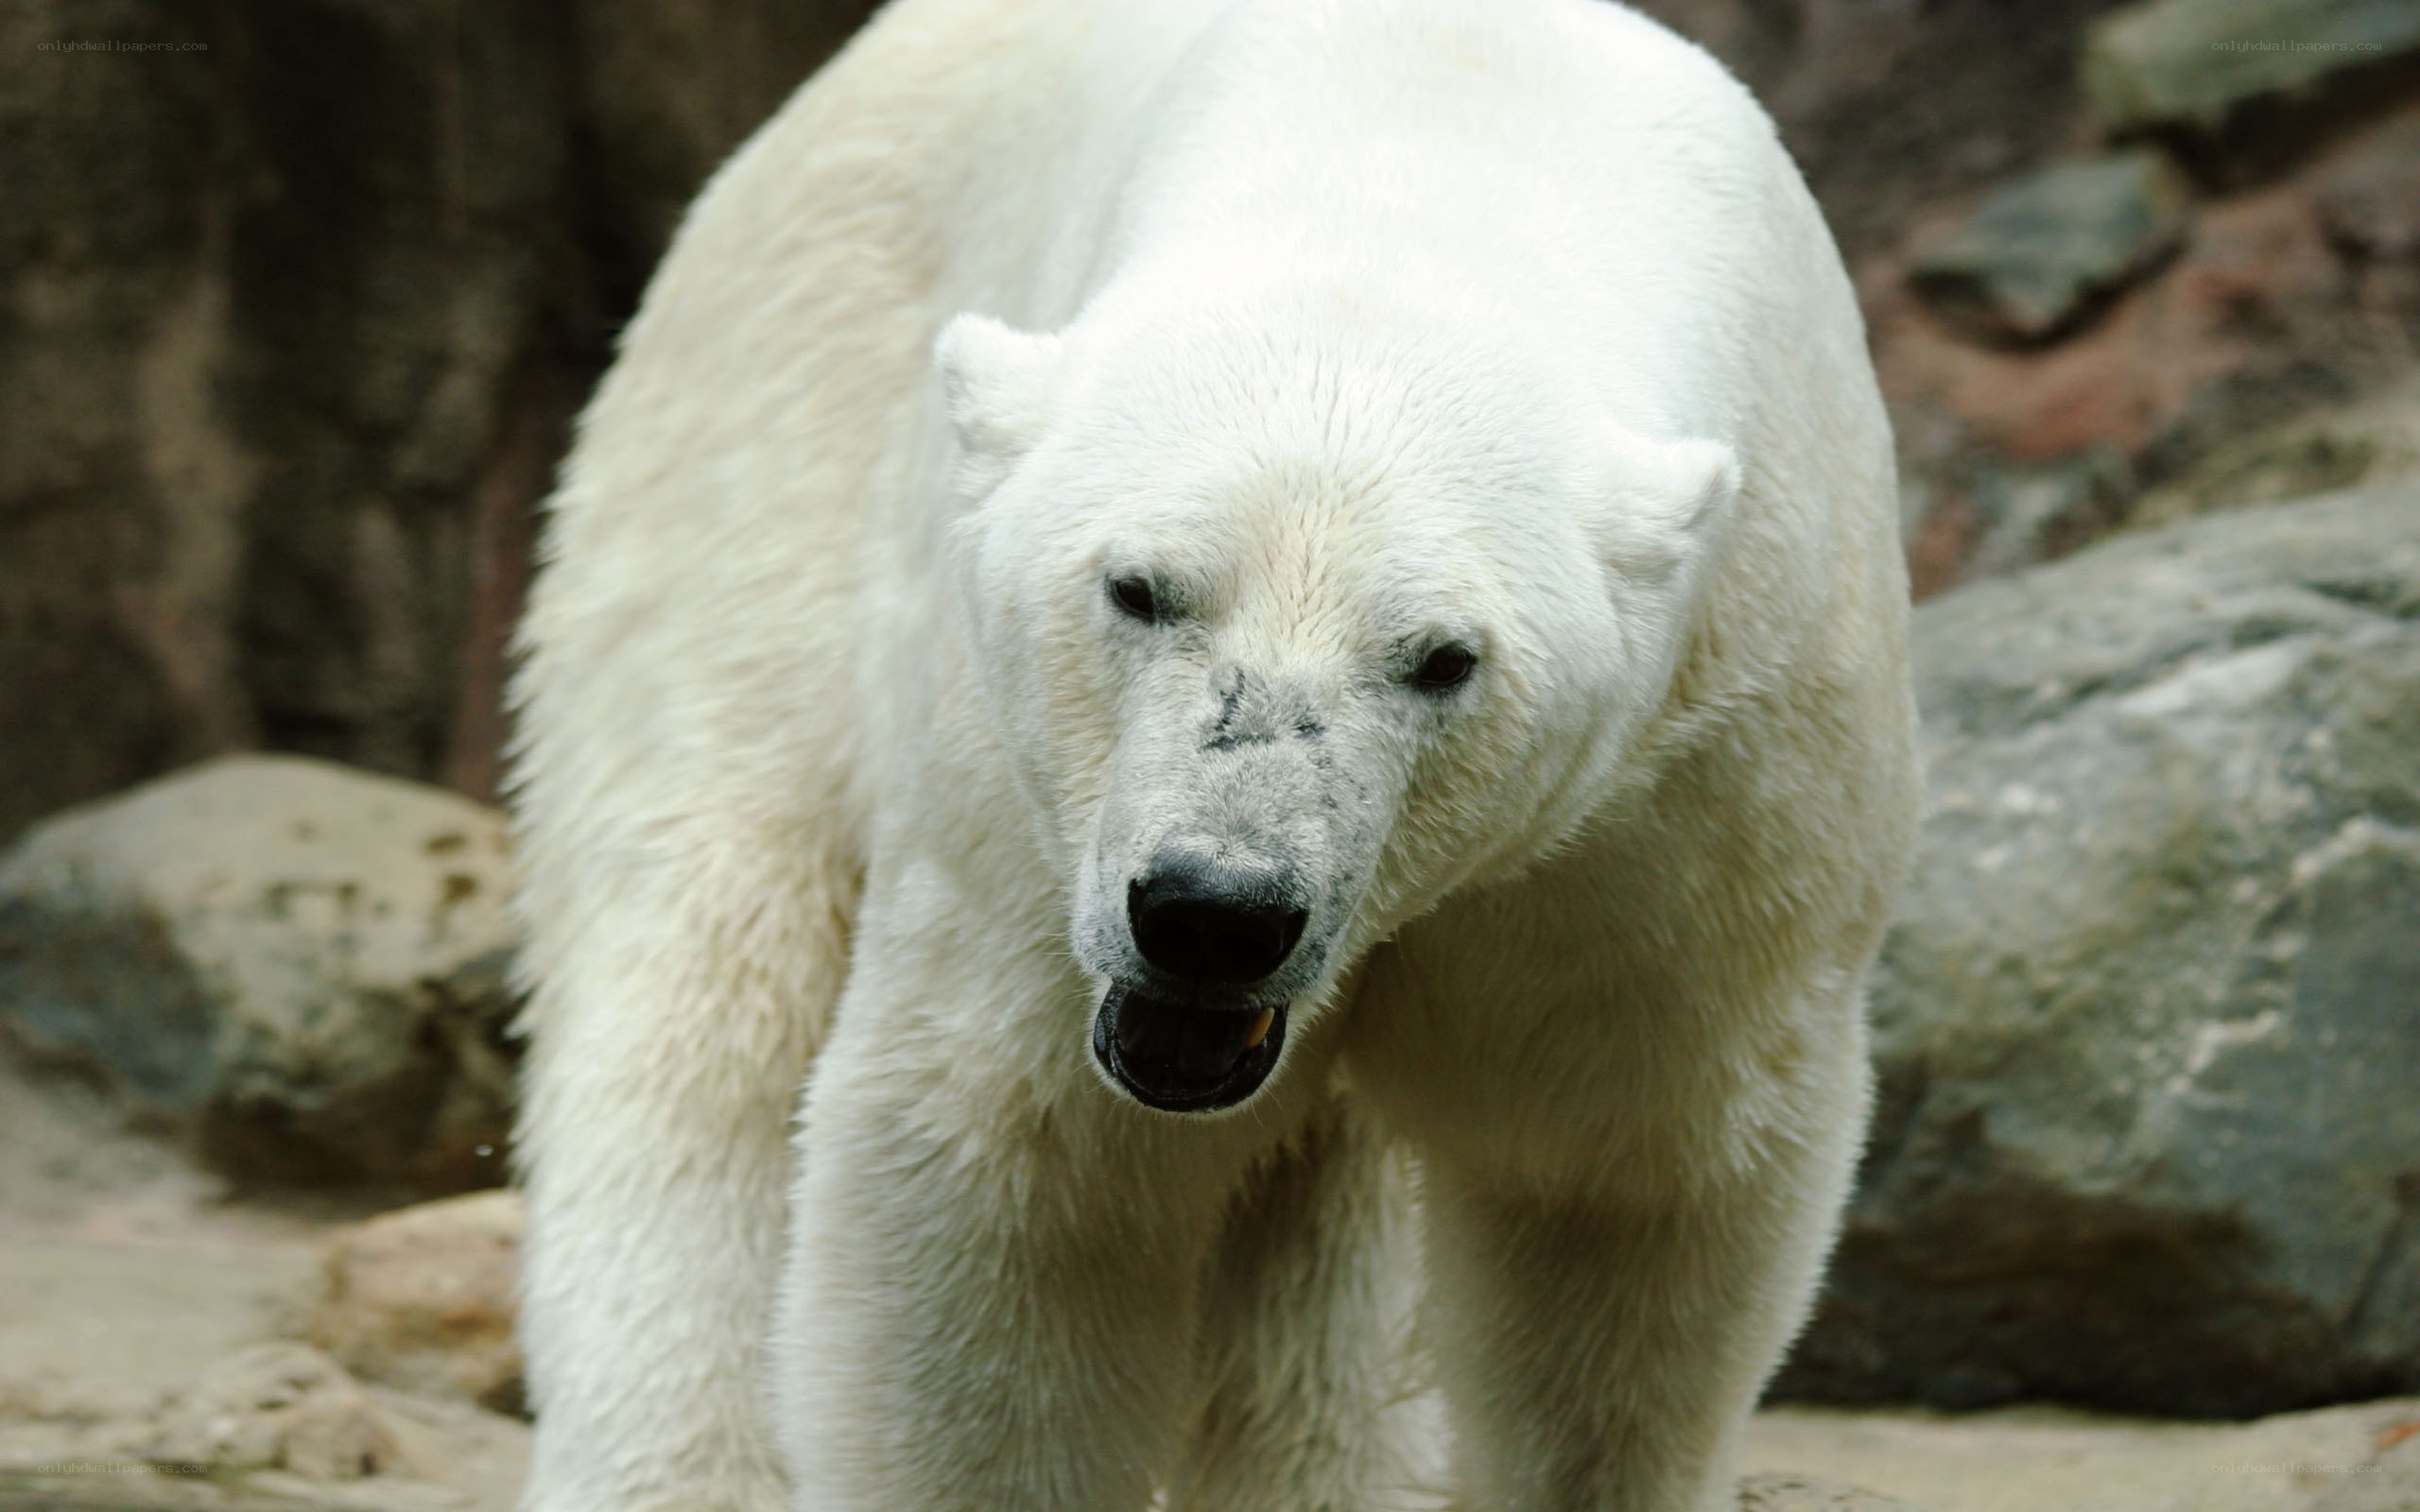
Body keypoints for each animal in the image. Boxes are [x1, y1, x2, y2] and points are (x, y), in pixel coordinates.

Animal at [506, 0, 1919, 1509]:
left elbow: (1620, 1202)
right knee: (703, 973)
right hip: (764, 458)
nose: (1213, 912)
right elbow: (1012, 1194)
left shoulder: (1685, 803)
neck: (1431, 175)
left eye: (1443, 658)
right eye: (1139, 589)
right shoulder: (1028, 814)